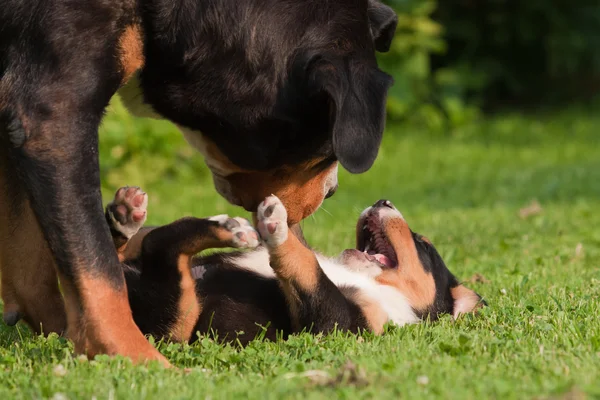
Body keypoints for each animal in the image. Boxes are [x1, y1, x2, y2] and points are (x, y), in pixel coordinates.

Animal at [0, 0, 398, 364]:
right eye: (326, 150)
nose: (332, 192)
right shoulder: (53, 116)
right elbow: (97, 274)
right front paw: (136, 359)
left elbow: (34, 272)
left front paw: (63, 339)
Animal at [104, 186, 488, 342]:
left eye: (423, 245)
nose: (383, 201)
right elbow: (311, 259)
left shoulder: (335, 326)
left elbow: (309, 269)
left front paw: (279, 229)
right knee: (142, 246)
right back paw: (125, 216)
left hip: (177, 321)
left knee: (162, 249)